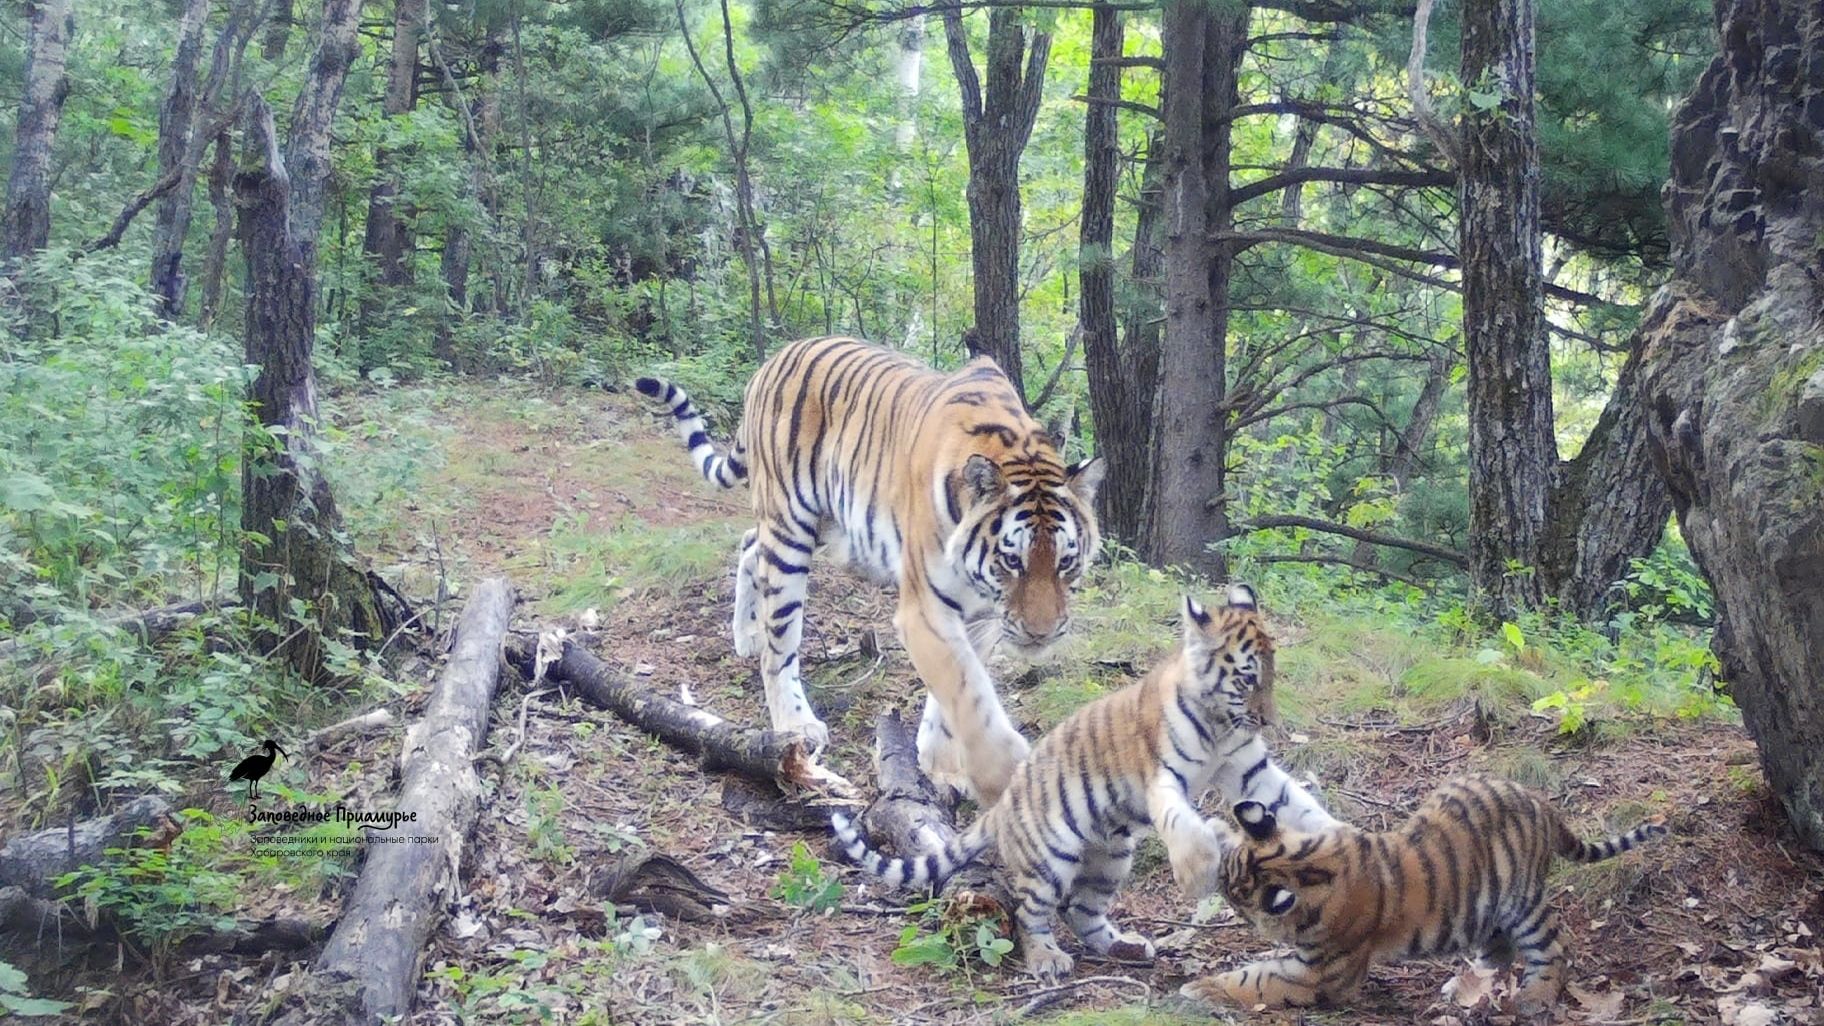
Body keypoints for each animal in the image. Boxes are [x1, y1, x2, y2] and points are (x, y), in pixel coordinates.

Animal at [634, 335, 1101, 799]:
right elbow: (966, 690)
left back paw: (747, 635)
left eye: (1065, 562)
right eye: (1011, 561)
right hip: (790, 529)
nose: (1041, 634)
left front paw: (941, 765)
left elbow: (955, 695)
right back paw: (795, 719)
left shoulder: (982, 618)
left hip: (823, 524)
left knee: (750, 545)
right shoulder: (926, 610)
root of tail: (772, 360)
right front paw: (1002, 775)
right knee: (778, 644)